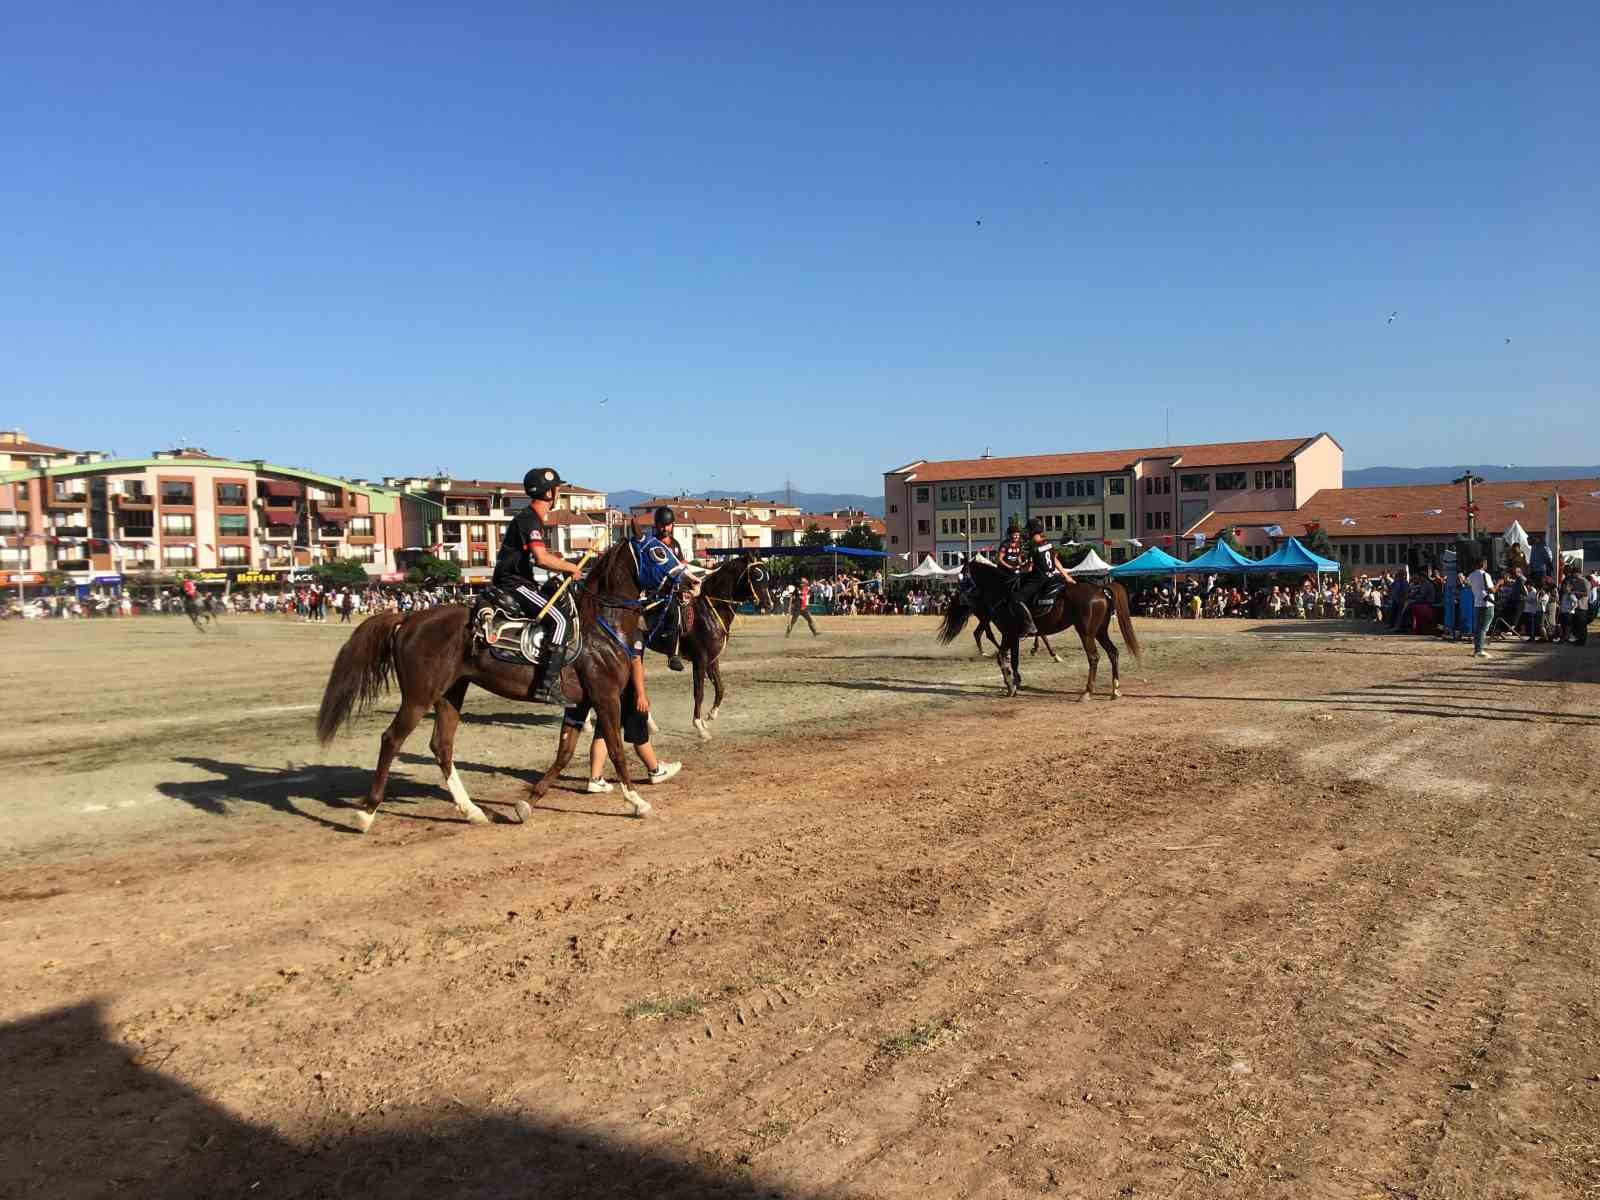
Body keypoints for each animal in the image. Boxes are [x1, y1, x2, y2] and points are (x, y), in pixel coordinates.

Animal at [315, 544, 659, 838]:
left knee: (442, 746)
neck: (601, 627)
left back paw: (472, 811)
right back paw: (367, 813)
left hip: (450, 693)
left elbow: (564, 753)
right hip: (418, 696)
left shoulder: (579, 703)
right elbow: (615, 749)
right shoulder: (605, 697)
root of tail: (409, 617)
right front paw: (637, 801)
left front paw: (527, 803)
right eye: (659, 551)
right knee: (391, 740)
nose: (681, 577)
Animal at [646, 556, 777, 742]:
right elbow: (699, 692)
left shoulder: (713, 659)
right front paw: (699, 726)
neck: (710, 610)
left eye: (766, 575)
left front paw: (710, 715)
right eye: (756, 575)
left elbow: (720, 688)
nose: (769, 603)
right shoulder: (700, 659)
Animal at [934, 566, 1145, 704]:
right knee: (1113, 652)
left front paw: (1010, 685)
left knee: (1094, 657)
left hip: (1085, 632)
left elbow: (1002, 657)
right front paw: (1016, 682)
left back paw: (1087, 692)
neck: (1003, 591)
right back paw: (1115, 690)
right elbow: (1014, 659)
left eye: (963, 577)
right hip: (1100, 631)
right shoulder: (1013, 635)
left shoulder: (1009, 633)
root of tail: (1101, 589)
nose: (956, 596)